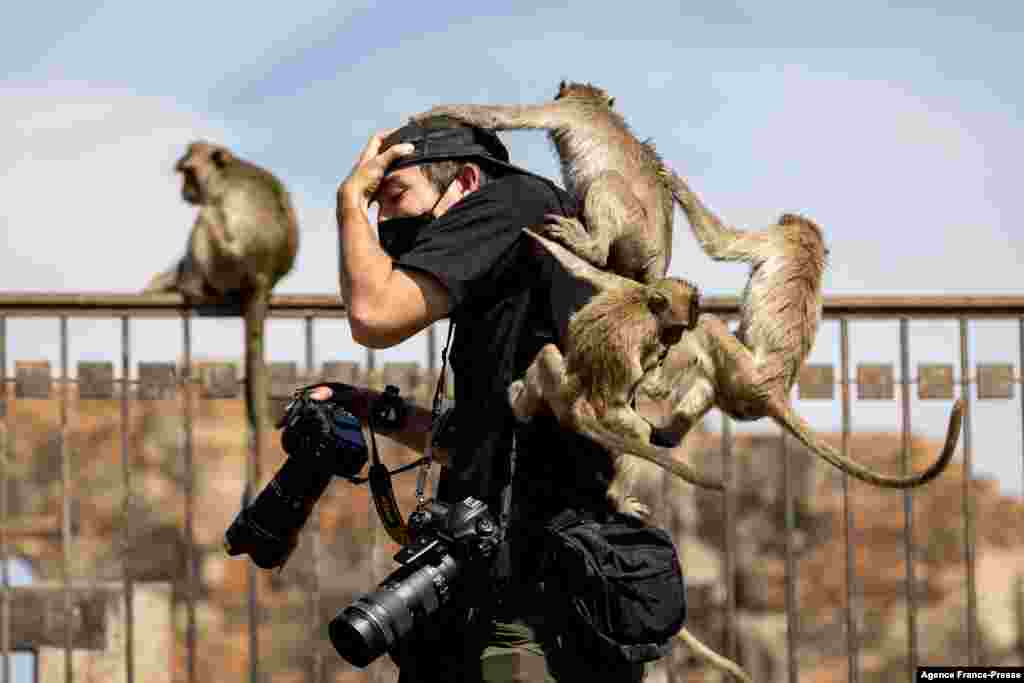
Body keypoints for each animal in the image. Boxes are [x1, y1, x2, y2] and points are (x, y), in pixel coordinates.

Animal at [145, 141, 299, 480]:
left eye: (188, 173)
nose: (184, 191)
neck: (226, 171)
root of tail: (265, 278)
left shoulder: (222, 205)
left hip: (228, 267)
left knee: (205, 219)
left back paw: (192, 287)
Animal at [413, 80, 676, 285]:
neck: (593, 102)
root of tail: (659, 262)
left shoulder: (567, 109)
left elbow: (501, 117)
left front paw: (431, 113)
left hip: (637, 235)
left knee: (607, 181)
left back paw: (592, 248)